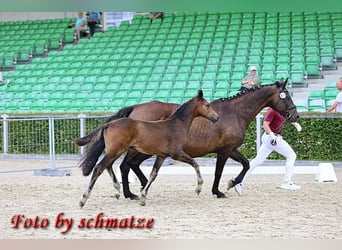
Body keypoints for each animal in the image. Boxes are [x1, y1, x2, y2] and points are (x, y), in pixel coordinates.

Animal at [75, 90, 219, 207]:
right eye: (207, 105)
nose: (216, 117)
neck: (177, 124)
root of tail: (109, 124)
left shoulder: (162, 156)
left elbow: (153, 174)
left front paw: (143, 197)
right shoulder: (176, 153)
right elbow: (195, 164)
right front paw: (198, 188)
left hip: (115, 151)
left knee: (108, 166)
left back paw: (117, 190)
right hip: (117, 150)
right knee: (99, 168)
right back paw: (83, 199)